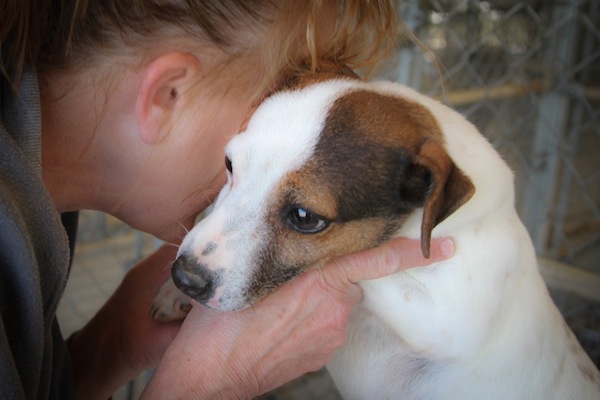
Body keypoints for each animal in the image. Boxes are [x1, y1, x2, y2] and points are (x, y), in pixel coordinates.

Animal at [151, 72, 600, 400]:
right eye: (230, 164)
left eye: (304, 217)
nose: (184, 277)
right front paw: (171, 292)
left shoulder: (454, 317)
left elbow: (367, 269)